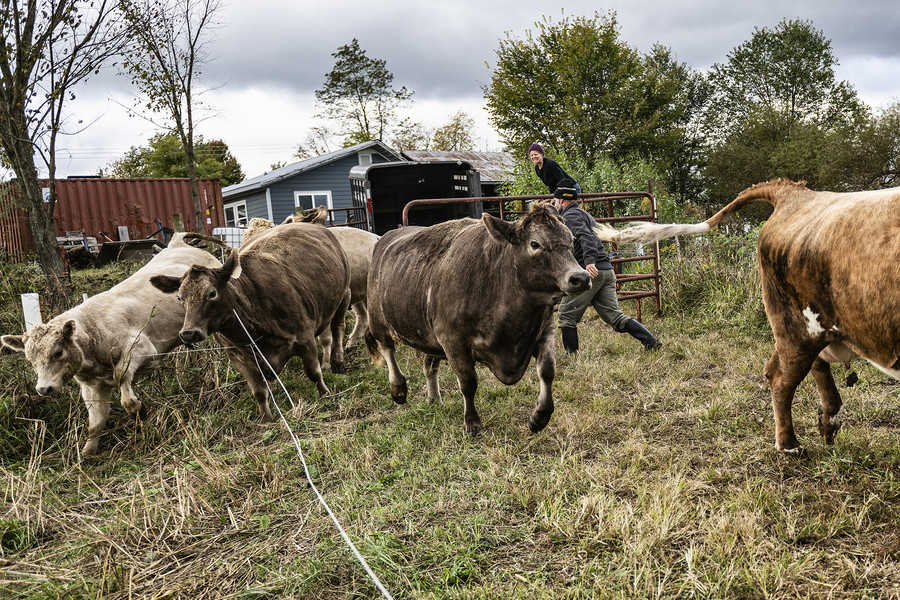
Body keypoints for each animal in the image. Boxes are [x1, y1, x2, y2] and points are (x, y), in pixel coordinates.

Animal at [0, 233, 223, 454]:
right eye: (30, 360)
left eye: (58, 352)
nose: (43, 389)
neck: (91, 333)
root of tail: (176, 243)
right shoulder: (92, 387)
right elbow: (95, 422)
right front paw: (87, 453)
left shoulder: (141, 348)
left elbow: (121, 377)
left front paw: (137, 410)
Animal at [149, 220, 350, 422]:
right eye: (179, 298)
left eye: (212, 293)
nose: (188, 333)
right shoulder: (238, 356)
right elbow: (259, 392)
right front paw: (266, 419)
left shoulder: (304, 338)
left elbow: (314, 372)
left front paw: (325, 394)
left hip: (344, 294)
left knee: (338, 327)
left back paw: (338, 360)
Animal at [364, 202, 592, 436]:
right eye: (535, 244)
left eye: (570, 239)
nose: (581, 277)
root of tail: (386, 237)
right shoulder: (453, 341)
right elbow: (468, 382)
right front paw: (472, 422)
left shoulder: (544, 329)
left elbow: (547, 370)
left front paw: (540, 416)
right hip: (378, 320)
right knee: (388, 350)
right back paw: (398, 388)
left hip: (429, 336)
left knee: (429, 365)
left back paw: (434, 398)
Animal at [596, 180, 900, 452]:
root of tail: (797, 194)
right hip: (795, 325)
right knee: (780, 377)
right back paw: (789, 446)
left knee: (812, 366)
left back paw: (826, 426)